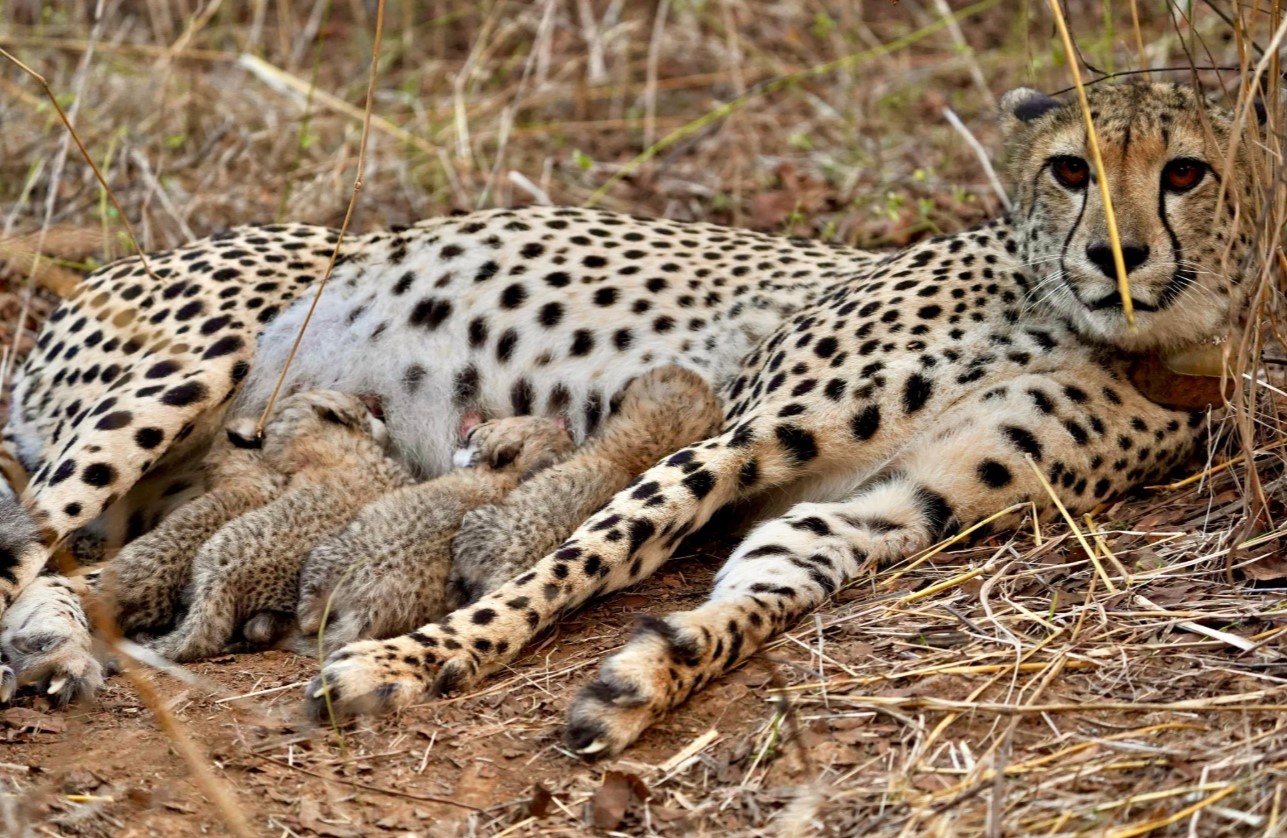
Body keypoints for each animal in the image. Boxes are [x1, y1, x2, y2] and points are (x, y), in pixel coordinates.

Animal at [297, 414, 576, 654]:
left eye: (475, 434)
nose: (468, 431)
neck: (505, 476)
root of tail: (366, 598)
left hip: (321, 561)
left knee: (307, 620)